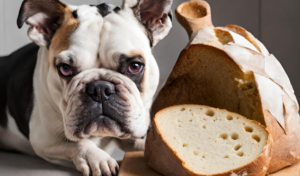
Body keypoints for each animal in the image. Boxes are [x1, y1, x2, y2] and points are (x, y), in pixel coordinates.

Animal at [0, 0, 172, 175]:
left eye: (135, 66)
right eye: (65, 68)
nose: (100, 89)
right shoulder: (43, 140)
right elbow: (76, 143)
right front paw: (98, 159)